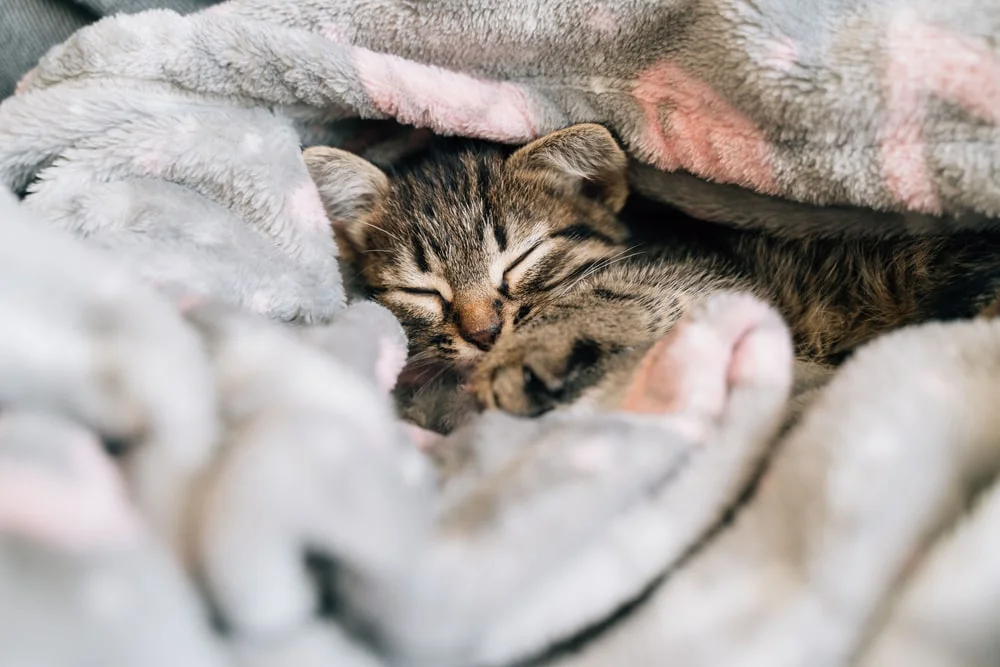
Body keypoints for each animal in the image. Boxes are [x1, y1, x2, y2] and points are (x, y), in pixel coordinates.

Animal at [300, 124, 1000, 426]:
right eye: (420, 291)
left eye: (522, 259)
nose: (483, 334)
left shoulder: (705, 275)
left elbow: (604, 295)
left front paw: (521, 356)